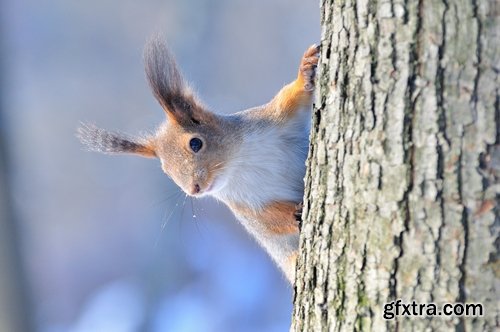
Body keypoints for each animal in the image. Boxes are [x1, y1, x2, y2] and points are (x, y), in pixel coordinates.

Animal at [78, 39, 320, 282]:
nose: (194, 189)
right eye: (166, 170)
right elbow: (268, 222)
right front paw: (294, 213)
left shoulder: (274, 119)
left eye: (195, 143)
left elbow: (292, 97)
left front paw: (306, 69)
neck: (239, 163)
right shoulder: (245, 205)